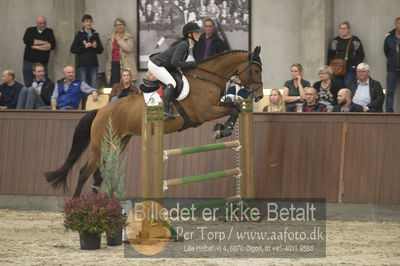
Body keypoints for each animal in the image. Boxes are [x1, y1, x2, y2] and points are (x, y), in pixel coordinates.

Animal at [45, 46, 264, 197]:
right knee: (84, 172)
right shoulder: (205, 112)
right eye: (256, 70)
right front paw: (222, 130)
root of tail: (100, 111)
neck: (206, 79)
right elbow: (233, 109)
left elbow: (234, 107)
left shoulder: (215, 105)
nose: (260, 96)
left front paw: (224, 128)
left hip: (118, 143)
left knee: (99, 174)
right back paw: (77, 205)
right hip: (100, 146)